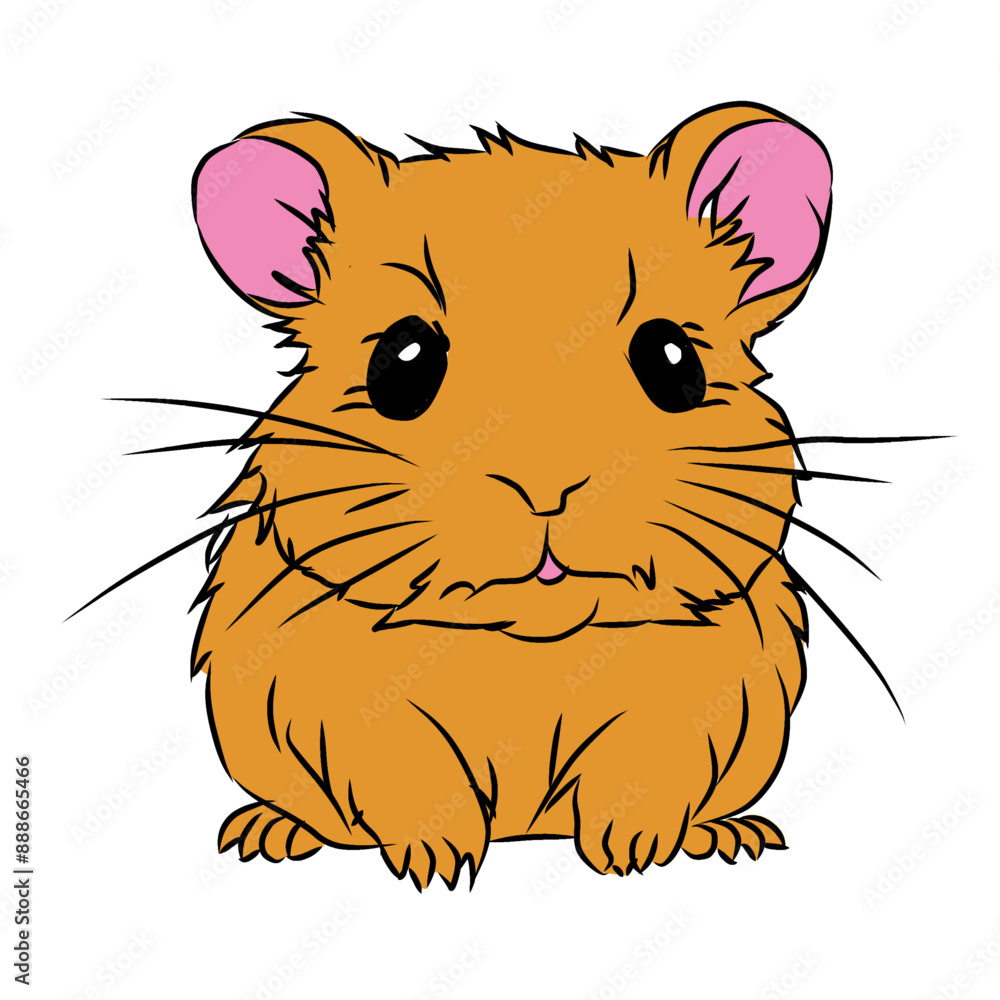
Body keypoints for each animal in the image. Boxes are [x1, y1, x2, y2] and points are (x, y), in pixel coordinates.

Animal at [185, 102, 836, 889]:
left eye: (672, 359)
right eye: (401, 360)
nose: (547, 486)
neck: (529, 646)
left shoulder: (706, 682)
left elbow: (646, 758)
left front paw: (631, 856)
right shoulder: (330, 690)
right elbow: (403, 761)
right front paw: (439, 864)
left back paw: (734, 836)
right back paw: (266, 834)